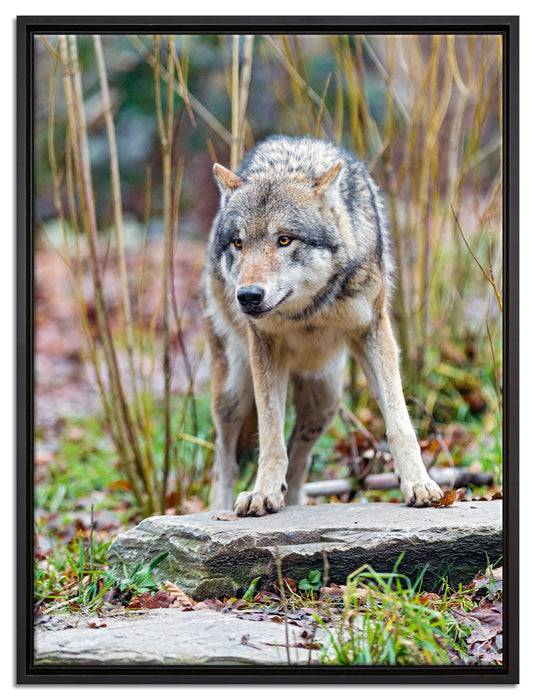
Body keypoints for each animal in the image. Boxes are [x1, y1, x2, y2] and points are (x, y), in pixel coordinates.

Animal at [201, 135, 443, 516]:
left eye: (284, 239)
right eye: (238, 243)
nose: (248, 296)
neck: (309, 313)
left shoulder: (374, 333)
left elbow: (399, 422)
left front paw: (419, 485)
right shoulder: (264, 347)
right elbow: (270, 433)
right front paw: (261, 492)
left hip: (325, 401)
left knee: (299, 464)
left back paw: (293, 502)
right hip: (232, 395)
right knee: (224, 461)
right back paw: (224, 506)